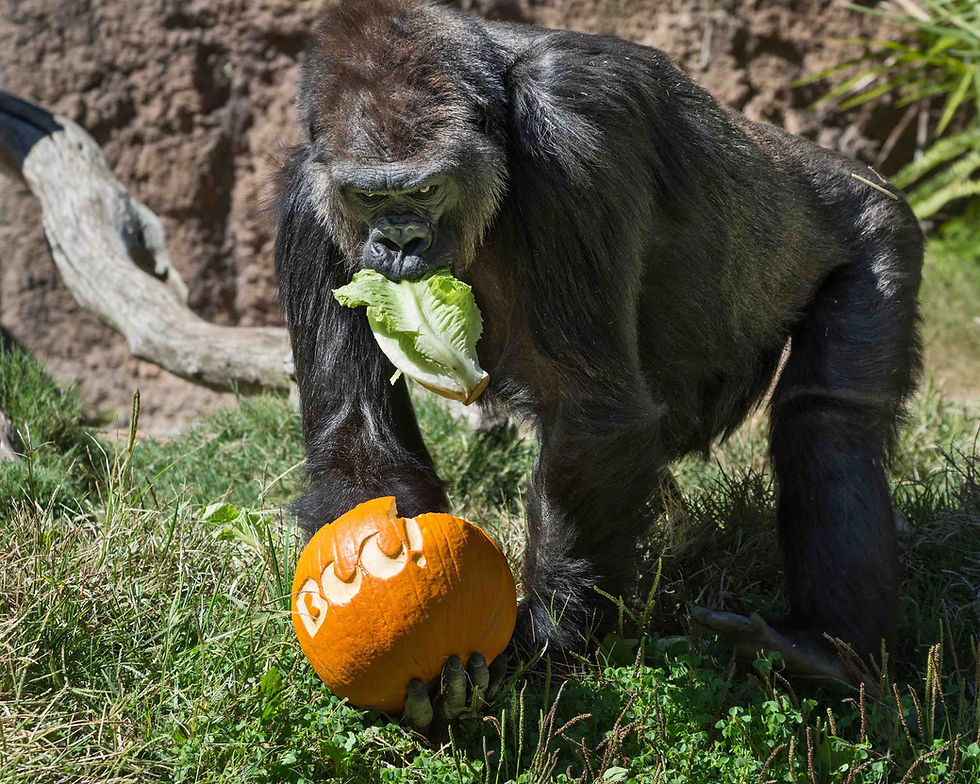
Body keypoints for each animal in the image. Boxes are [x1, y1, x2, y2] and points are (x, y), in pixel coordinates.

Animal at [274, 0, 923, 722]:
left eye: (428, 189)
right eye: (367, 198)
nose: (400, 242)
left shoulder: (574, 136)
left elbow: (592, 412)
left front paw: (541, 642)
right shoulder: (307, 207)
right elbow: (357, 436)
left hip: (880, 224)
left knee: (828, 423)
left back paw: (827, 653)